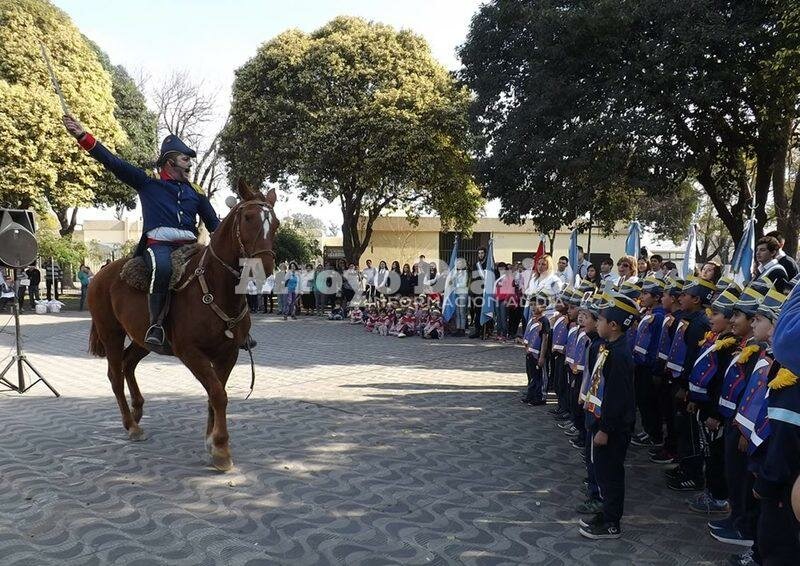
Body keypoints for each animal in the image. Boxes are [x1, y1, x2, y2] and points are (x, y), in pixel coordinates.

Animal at [88, 181, 278, 470]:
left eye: (276, 223)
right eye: (248, 217)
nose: (262, 268)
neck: (216, 288)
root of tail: (101, 273)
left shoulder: (228, 354)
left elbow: (216, 393)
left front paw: (212, 441)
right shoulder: (191, 353)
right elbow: (218, 394)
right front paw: (221, 448)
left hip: (144, 339)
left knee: (128, 364)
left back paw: (137, 409)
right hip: (111, 333)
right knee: (115, 375)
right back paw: (131, 425)